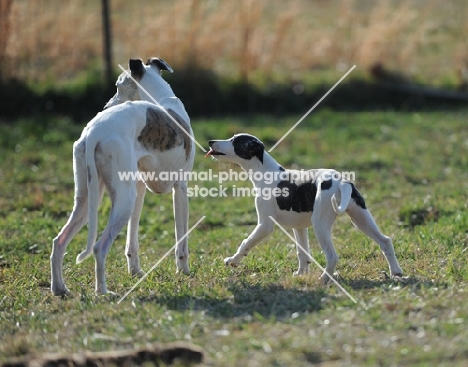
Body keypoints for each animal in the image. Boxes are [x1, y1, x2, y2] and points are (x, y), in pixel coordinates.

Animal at [51, 59, 196, 298]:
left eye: (118, 86)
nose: (105, 107)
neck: (162, 100)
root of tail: (94, 132)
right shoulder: (181, 188)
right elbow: (181, 238)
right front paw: (183, 271)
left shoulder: (139, 190)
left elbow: (132, 239)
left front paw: (136, 271)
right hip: (122, 201)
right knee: (99, 247)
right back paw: (102, 292)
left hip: (89, 199)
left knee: (59, 241)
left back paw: (59, 289)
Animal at [207, 134, 404, 282]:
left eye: (235, 141)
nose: (210, 142)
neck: (265, 173)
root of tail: (341, 181)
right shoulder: (299, 227)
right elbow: (302, 253)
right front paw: (301, 274)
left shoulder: (265, 225)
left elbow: (246, 243)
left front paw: (233, 261)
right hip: (360, 218)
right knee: (385, 241)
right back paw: (396, 272)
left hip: (321, 225)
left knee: (332, 256)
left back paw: (324, 279)